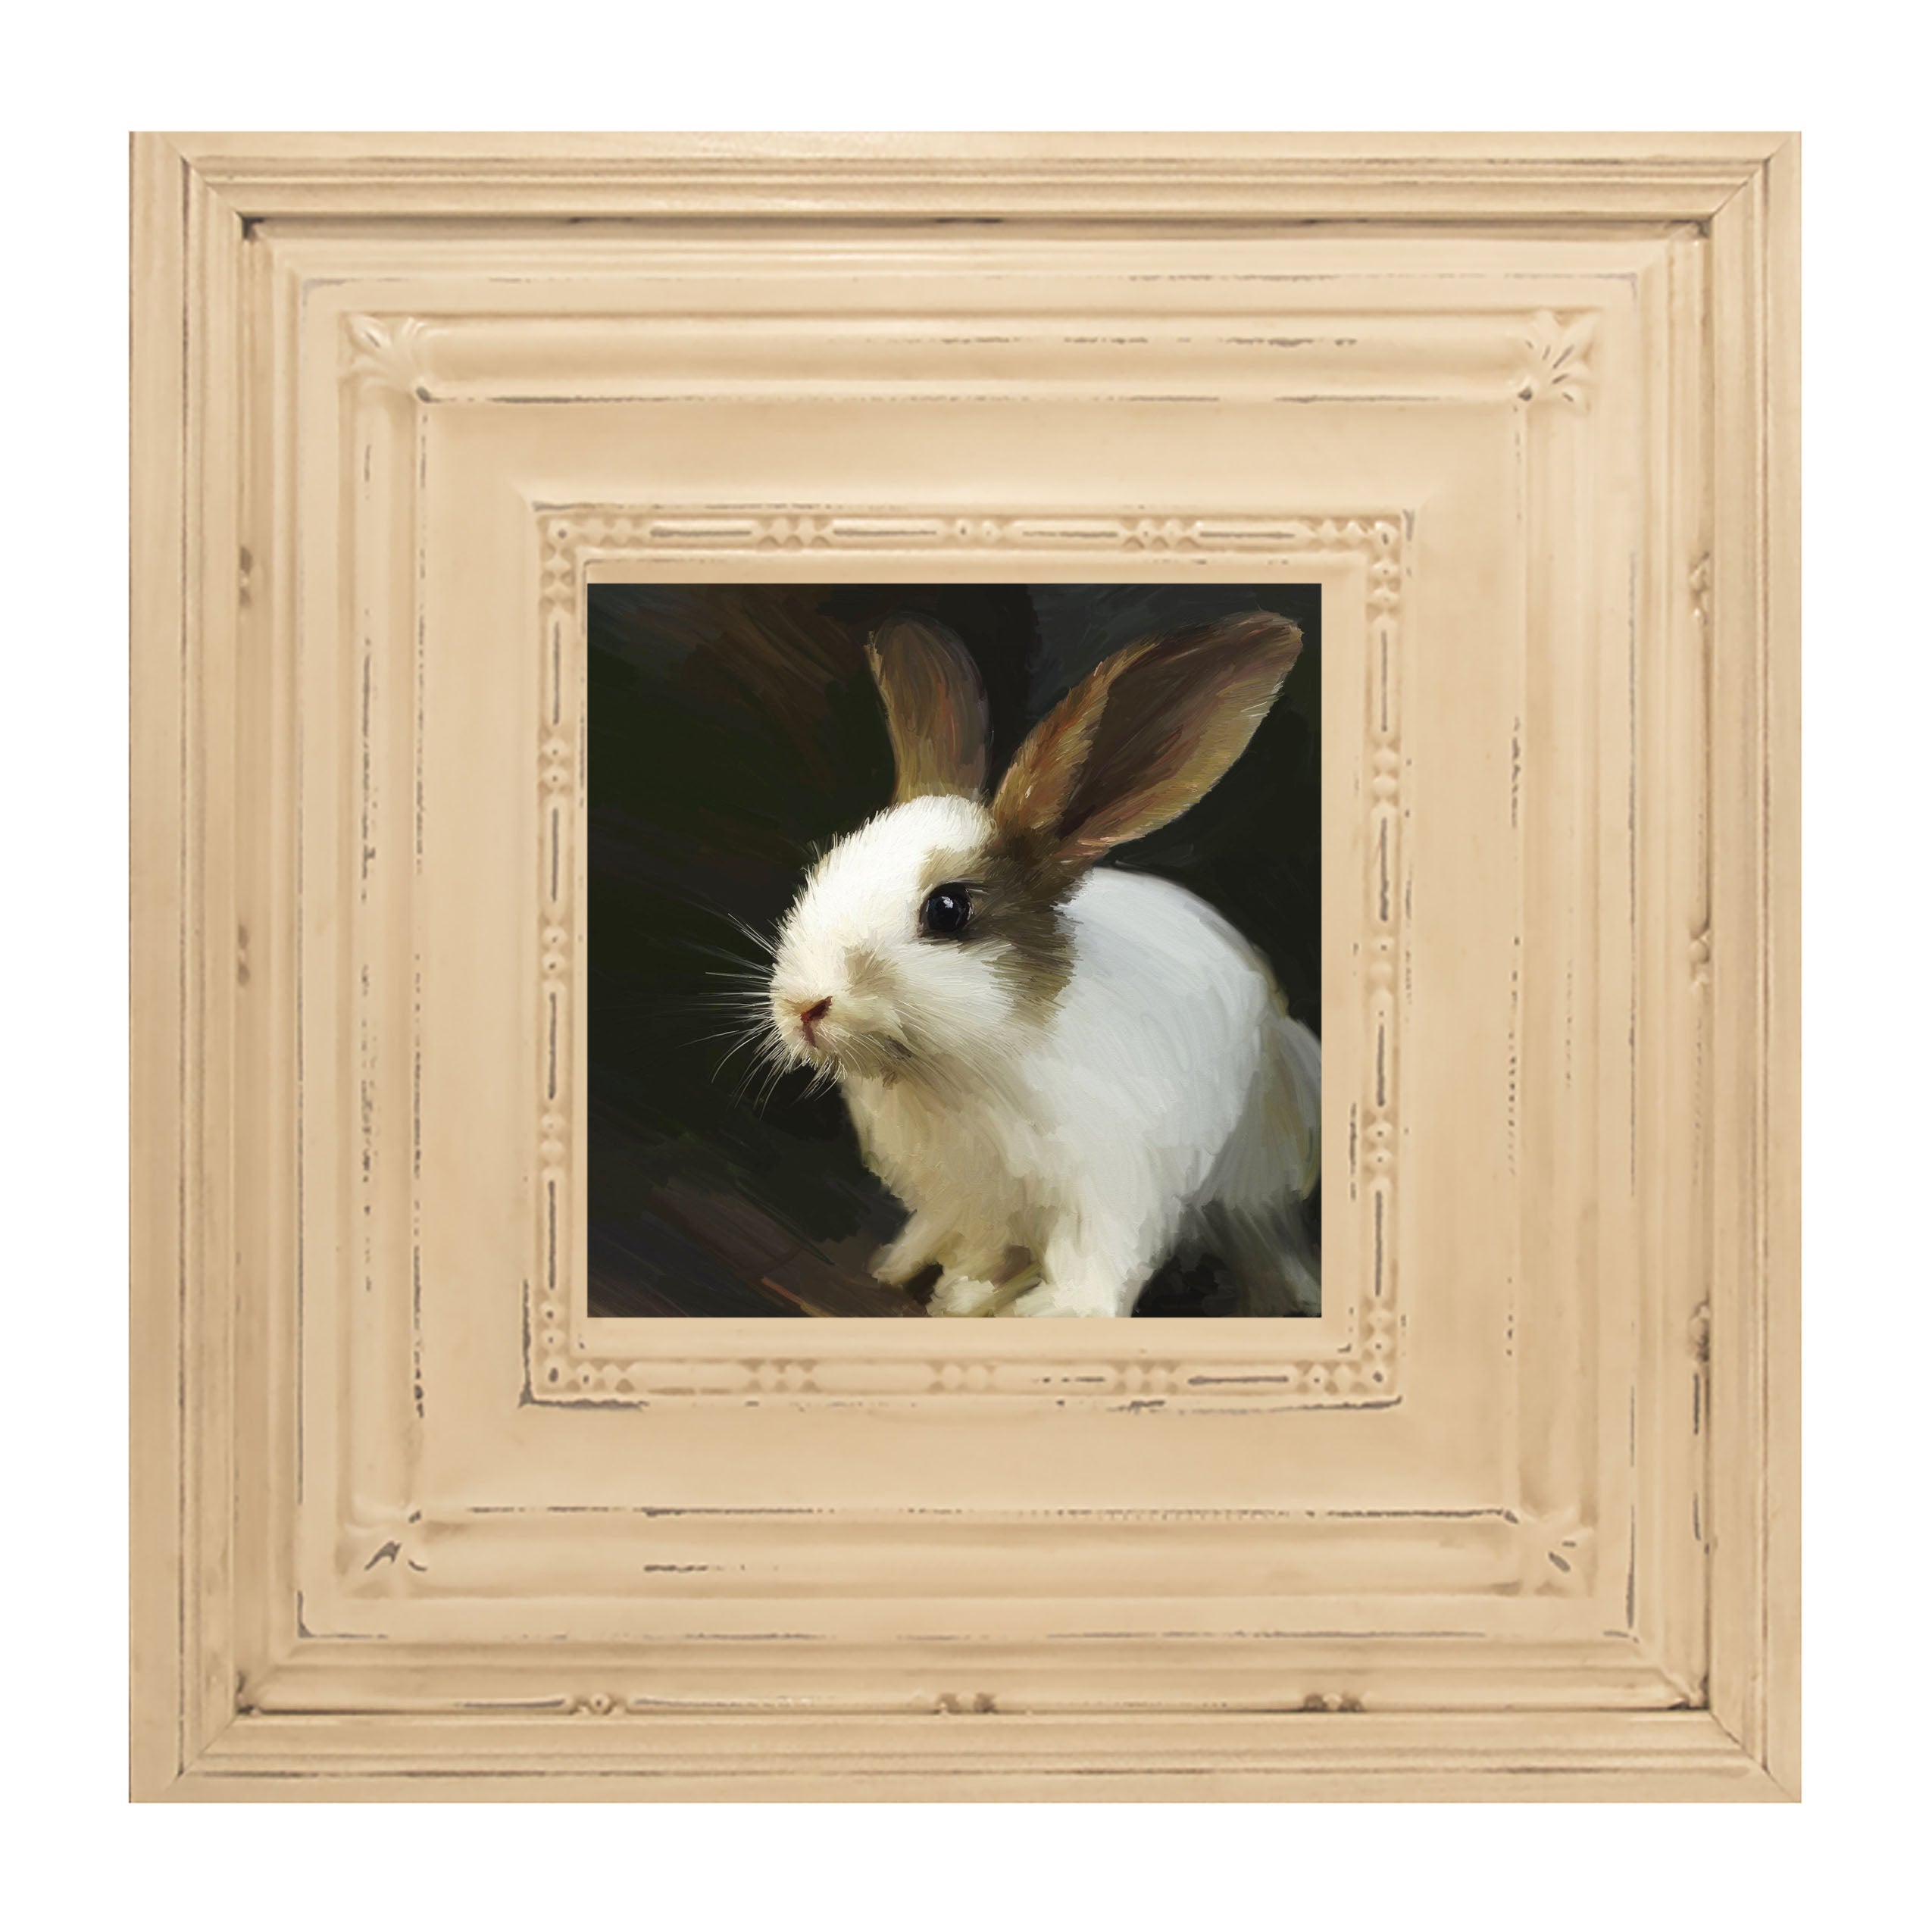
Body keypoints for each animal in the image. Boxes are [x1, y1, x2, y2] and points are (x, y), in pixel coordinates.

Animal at [761, 609, 1321, 1318]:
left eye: (948, 910)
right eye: (828, 864)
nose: (803, 1006)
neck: (961, 1068)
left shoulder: (1113, 1195)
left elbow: (1097, 1272)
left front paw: (1041, 1311)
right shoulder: (964, 1202)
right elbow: (973, 1248)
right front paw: (949, 1290)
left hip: (1259, 1176)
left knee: (1265, 1242)